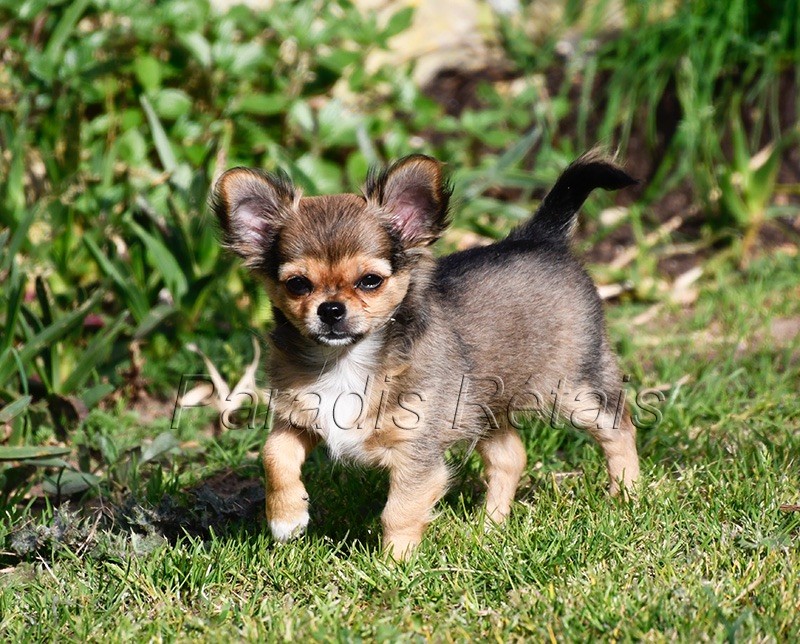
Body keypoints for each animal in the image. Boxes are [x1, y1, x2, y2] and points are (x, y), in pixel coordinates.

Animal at [212, 152, 641, 558]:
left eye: (370, 281)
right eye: (298, 284)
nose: (331, 310)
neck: (346, 361)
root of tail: (541, 237)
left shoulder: (417, 453)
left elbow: (399, 511)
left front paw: (394, 566)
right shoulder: (298, 417)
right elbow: (274, 455)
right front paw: (287, 518)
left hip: (574, 388)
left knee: (619, 428)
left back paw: (627, 499)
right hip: (483, 405)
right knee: (511, 456)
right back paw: (490, 526)